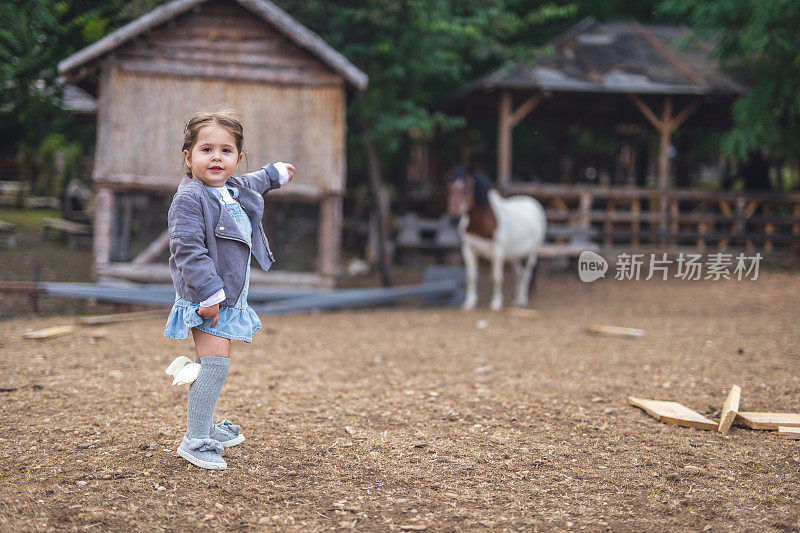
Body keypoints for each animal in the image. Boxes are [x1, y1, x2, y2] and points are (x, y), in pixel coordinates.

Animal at [446, 164, 548, 310]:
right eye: (449, 187)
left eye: (467, 188)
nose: (454, 218)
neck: (482, 222)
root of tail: (533, 203)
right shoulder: (468, 250)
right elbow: (471, 276)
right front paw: (469, 302)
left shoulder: (498, 252)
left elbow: (496, 277)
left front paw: (496, 303)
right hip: (513, 256)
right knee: (520, 273)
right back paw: (517, 300)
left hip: (531, 254)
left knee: (527, 274)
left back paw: (522, 301)